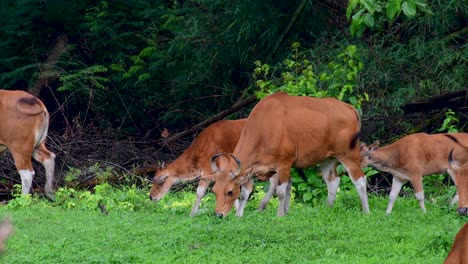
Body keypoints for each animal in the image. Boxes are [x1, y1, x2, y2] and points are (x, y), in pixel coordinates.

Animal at [210, 92, 368, 218]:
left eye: (229, 192)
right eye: (214, 191)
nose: (218, 214)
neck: (265, 126)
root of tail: (350, 108)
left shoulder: (284, 163)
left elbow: (280, 191)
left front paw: (280, 215)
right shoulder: (256, 168)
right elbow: (246, 193)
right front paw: (239, 216)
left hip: (349, 155)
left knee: (360, 180)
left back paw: (366, 211)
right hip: (327, 159)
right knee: (333, 182)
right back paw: (327, 209)